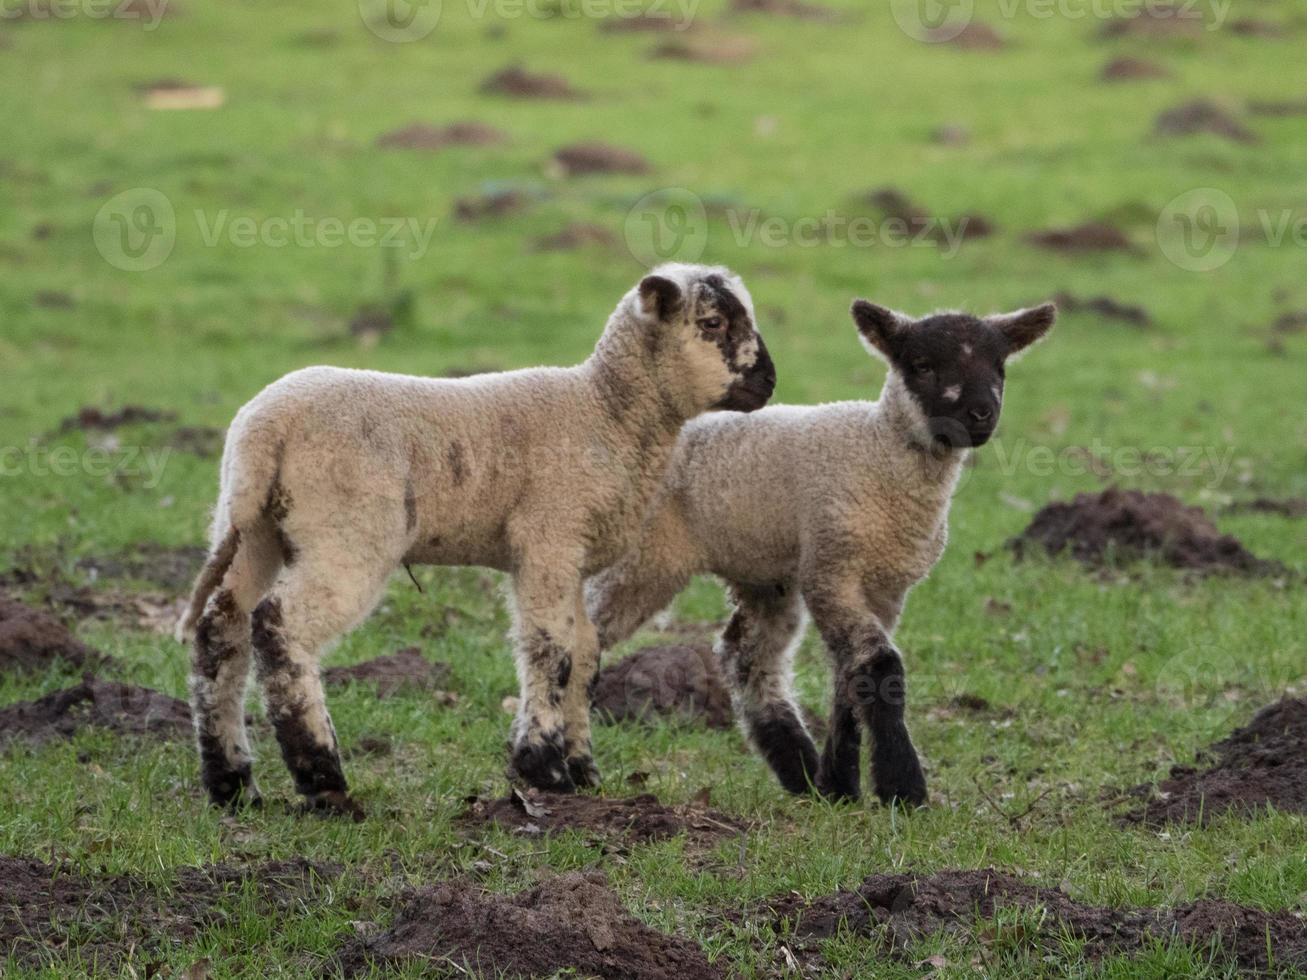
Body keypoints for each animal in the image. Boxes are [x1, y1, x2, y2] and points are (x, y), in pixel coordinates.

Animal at [180, 265, 778, 815]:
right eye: (713, 322)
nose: (770, 382)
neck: (606, 413)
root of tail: (265, 428)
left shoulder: (572, 553)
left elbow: (585, 654)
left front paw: (583, 770)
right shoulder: (547, 537)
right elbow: (551, 650)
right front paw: (545, 769)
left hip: (252, 529)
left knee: (221, 628)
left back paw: (232, 783)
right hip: (346, 533)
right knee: (279, 625)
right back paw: (323, 780)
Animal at [588, 303, 1056, 810]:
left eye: (1000, 367)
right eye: (922, 365)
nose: (980, 414)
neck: (879, 454)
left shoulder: (884, 587)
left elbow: (851, 676)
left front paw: (840, 786)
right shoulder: (832, 568)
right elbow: (879, 666)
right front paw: (902, 788)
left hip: (761, 571)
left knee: (746, 656)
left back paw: (799, 768)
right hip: (643, 558)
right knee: (582, 630)